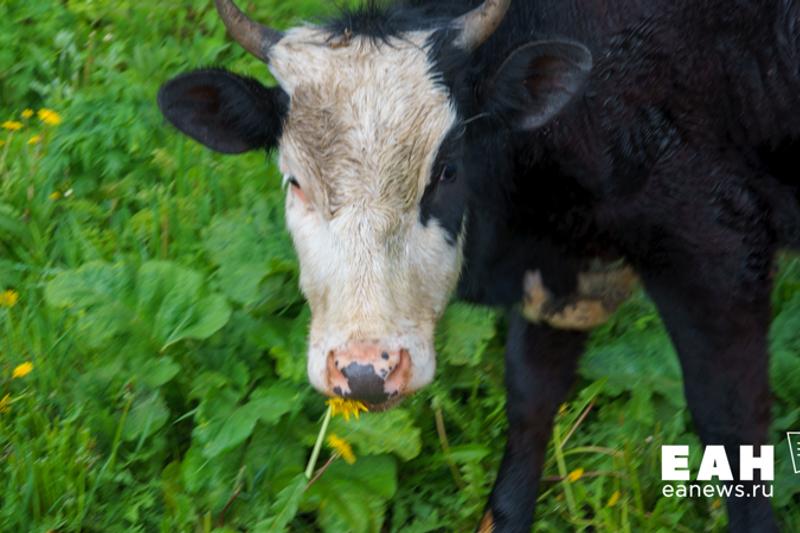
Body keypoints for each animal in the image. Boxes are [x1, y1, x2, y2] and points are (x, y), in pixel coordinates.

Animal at [157, 0, 800, 531]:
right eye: (296, 182)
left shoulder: (719, 251)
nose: (365, 372)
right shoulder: (561, 278)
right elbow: (531, 402)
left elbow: (732, 425)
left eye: (446, 171)